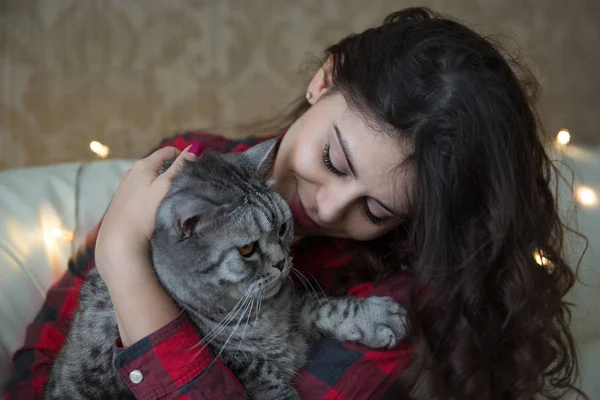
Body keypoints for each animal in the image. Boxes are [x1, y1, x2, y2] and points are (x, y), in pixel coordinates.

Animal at [42, 139, 408, 398]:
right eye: (247, 249)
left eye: (282, 228)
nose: (281, 261)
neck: (261, 316)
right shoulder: (240, 363)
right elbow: (267, 378)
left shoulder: (290, 305)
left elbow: (325, 306)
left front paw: (374, 317)